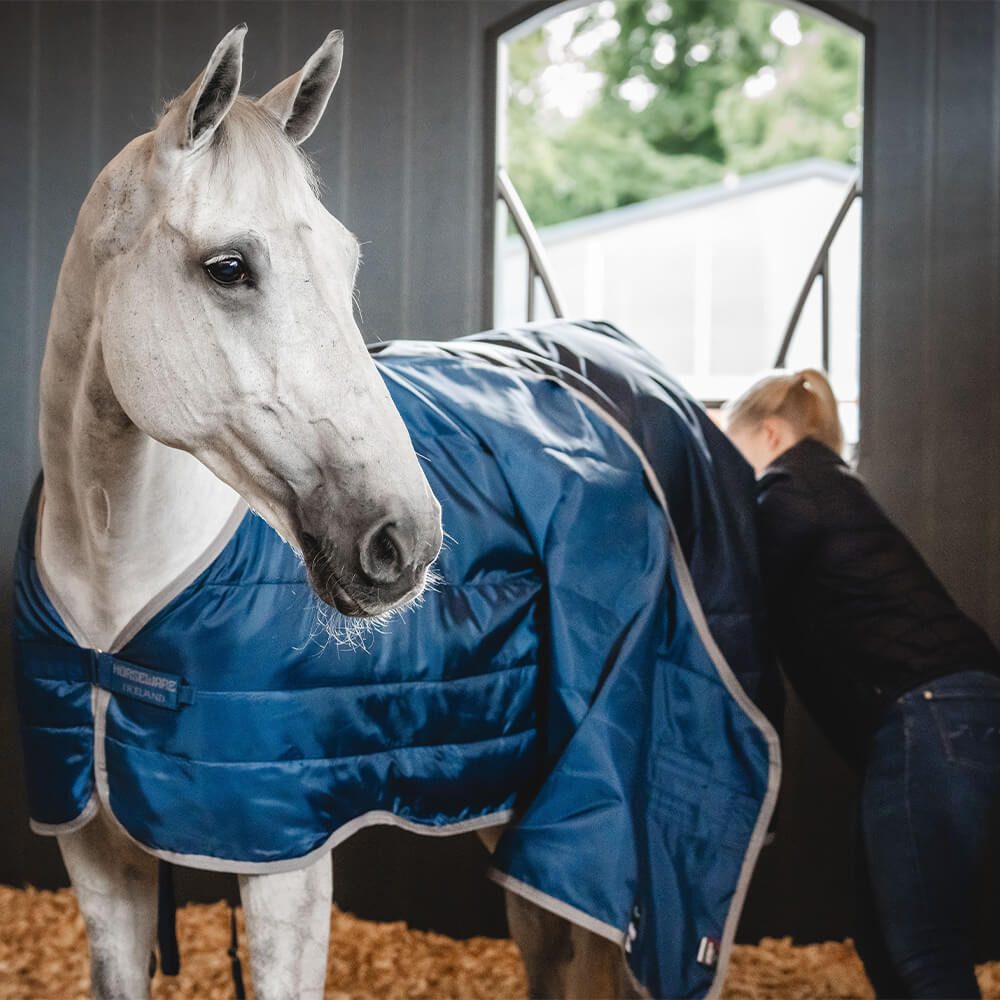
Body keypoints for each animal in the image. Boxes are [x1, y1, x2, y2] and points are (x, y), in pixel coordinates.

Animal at [14, 25, 779, 1000]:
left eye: (345, 262)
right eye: (229, 267)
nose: (404, 542)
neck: (113, 592)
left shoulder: (289, 860)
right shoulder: (96, 844)